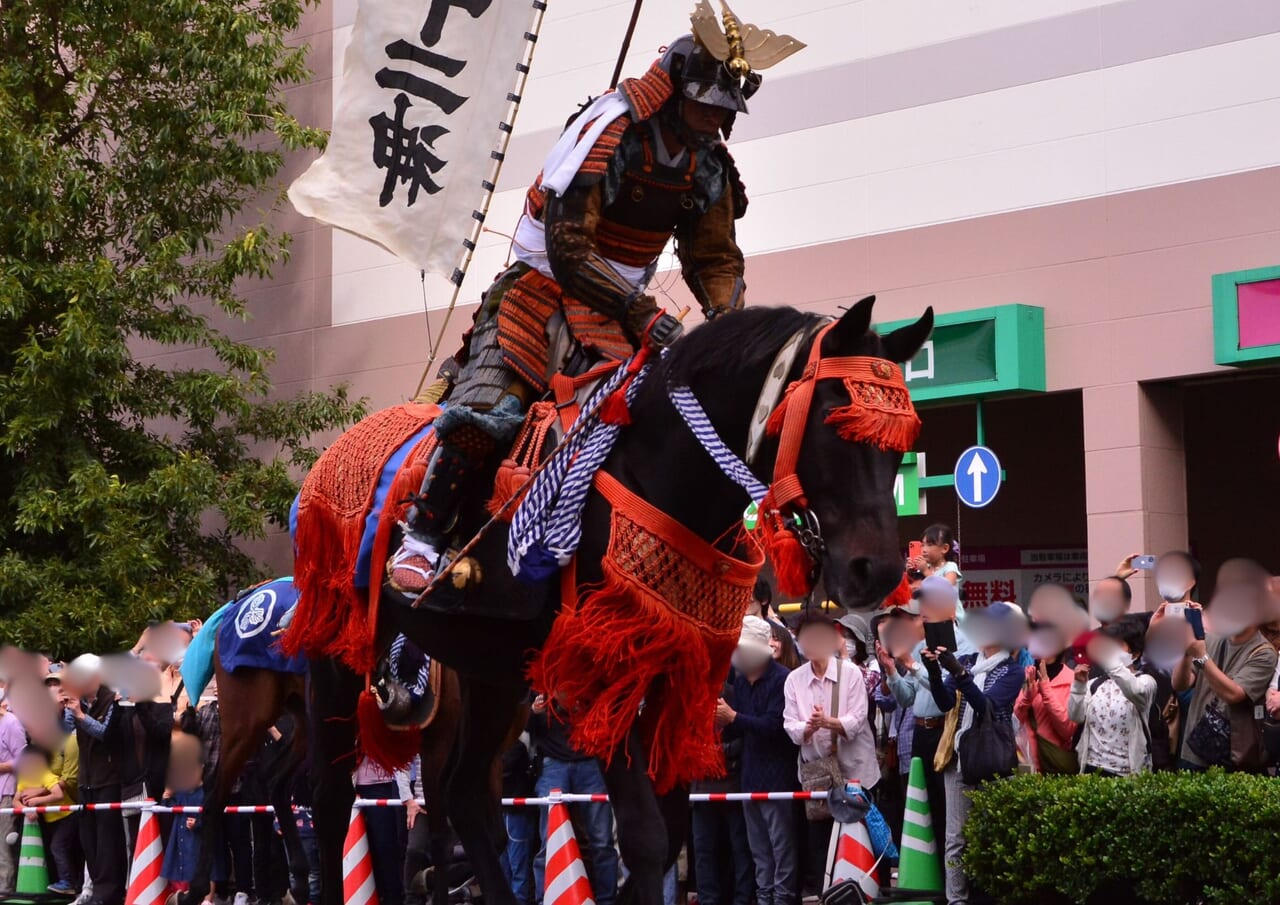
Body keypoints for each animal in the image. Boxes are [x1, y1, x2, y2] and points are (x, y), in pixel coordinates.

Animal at [296, 296, 931, 905]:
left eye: (902, 442)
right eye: (834, 420)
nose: (876, 571)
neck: (663, 475)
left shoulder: (677, 672)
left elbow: (671, 827)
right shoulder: (608, 671)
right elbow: (647, 834)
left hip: (487, 667)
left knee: (466, 796)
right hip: (338, 648)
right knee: (328, 802)